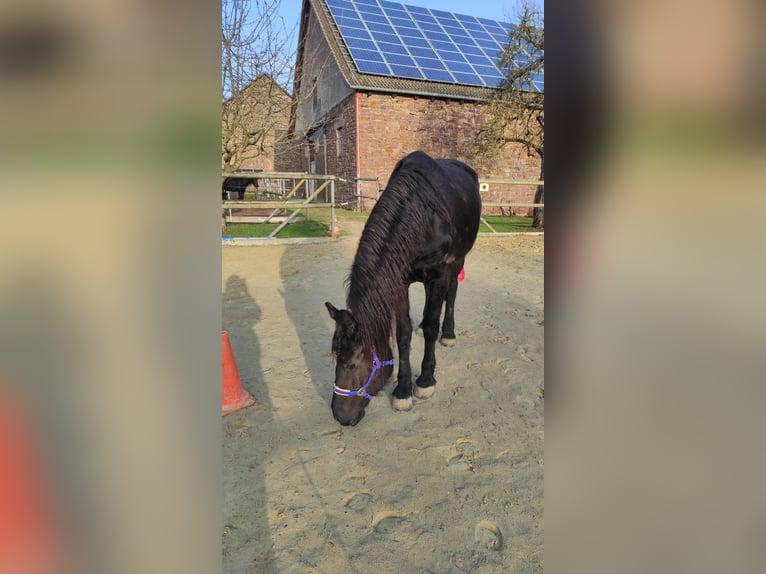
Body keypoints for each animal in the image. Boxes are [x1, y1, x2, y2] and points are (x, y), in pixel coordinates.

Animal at [325, 150, 482, 426]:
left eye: (351, 364)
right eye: (334, 357)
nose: (340, 415)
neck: (423, 214)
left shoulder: (440, 274)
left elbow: (431, 328)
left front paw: (425, 381)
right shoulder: (399, 280)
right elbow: (403, 333)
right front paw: (402, 390)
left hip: (457, 261)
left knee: (451, 294)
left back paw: (448, 333)